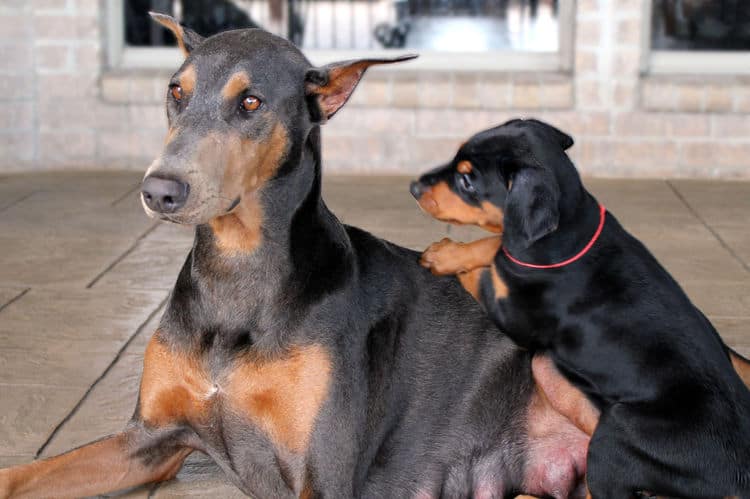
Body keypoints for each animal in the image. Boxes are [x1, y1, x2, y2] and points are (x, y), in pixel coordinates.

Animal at [0, 16, 592, 499]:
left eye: (251, 103)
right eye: (175, 92)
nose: (159, 190)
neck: (237, 272)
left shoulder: (321, 473)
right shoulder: (148, 441)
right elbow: (24, 473)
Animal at [412, 119, 750, 498]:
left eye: (467, 181)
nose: (413, 187)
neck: (571, 230)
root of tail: (737, 476)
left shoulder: (515, 313)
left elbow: (495, 260)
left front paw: (445, 255)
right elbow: (499, 243)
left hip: (615, 435)